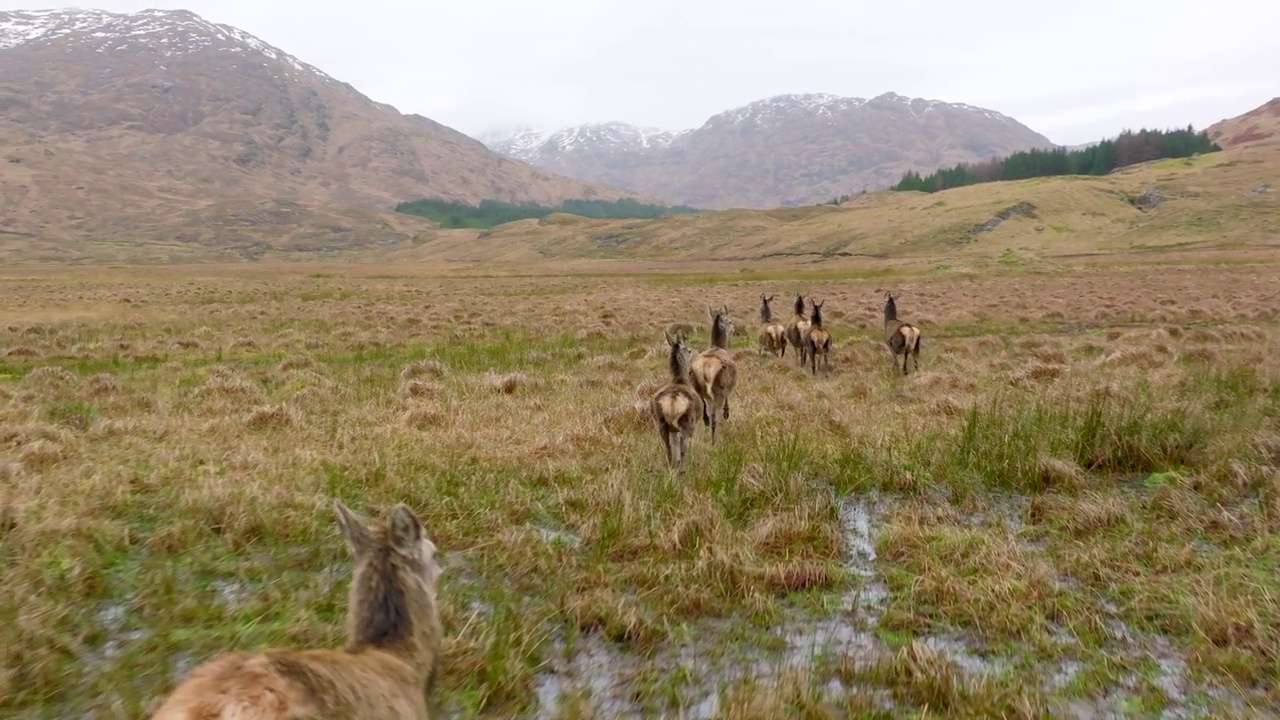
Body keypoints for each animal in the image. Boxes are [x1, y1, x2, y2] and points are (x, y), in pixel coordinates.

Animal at [655, 327, 706, 468]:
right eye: (688, 350)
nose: (696, 353)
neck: (680, 379)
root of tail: (672, 400)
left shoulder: (672, 429)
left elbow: (674, 446)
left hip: (661, 424)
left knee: (668, 449)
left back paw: (671, 468)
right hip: (687, 423)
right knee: (683, 447)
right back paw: (683, 469)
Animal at [691, 302, 742, 443]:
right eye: (729, 321)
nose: (734, 329)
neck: (719, 346)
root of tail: (706, 368)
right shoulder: (728, 388)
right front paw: (727, 413)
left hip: (699, 390)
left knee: (705, 414)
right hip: (717, 392)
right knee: (714, 417)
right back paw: (715, 442)